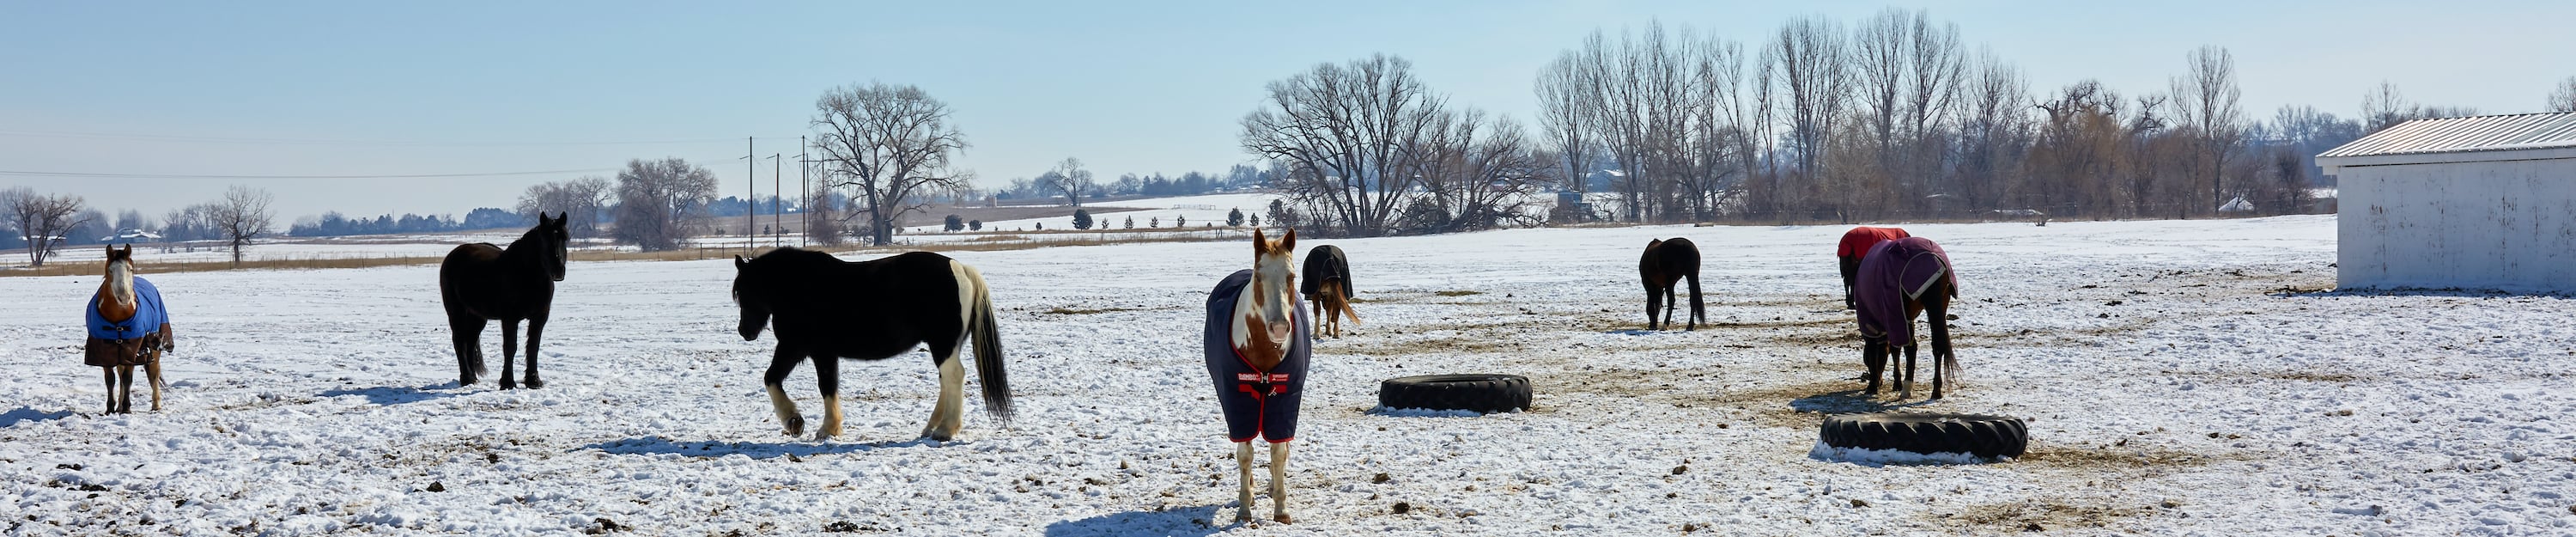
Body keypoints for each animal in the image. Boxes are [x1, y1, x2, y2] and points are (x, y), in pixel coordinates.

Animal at [85, 245, 172, 414]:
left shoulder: (133, 348)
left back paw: (156, 404)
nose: (124, 298)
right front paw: (110, 409)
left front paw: (127, 409)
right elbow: (111, 380)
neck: (118, 318)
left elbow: (128, 379)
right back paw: (119, 406)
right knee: (120, 374)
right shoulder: (105, 350)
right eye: (110, 270)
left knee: (154, 373)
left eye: (130, 269)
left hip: (154, 346)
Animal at [438, 213, 570, 389]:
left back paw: (473, 377)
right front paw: (507, 382)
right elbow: (510, 347)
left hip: (477, 316)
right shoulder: (510, 318)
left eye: (565, 238)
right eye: (544, 239)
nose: (558, 270)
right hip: (456, 311)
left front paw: (533, 381)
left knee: (470, 340)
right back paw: (467, 378)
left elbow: (533, 347)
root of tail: (453, 255)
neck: (527, 276)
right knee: (459, 340)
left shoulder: (539, 318)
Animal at [732, 248, 1011, 441]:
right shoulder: (816, 352)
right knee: (947, 380)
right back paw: (931, 427)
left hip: (943, 344)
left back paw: (945, 430)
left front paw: (801, 423)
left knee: (953, 376)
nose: (744, 331)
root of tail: (960, 268)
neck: (798, 287)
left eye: (743, 293)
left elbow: (782, 380)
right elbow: (822, 385)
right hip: (944, 346)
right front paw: (823, 427)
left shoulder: (798, 347)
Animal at [1205, 228, 1311, 524]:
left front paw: (1281, 507)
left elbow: (1278, 452)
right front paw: (1244, 508)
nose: (1279, 328)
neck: (1264, 349)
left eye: (1292, 276)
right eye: (1259, 276)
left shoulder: (1284, 401)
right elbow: (1245, 454)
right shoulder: (1237, 401)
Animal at [1851, 236, 1961, 400]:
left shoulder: (1874, 321)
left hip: (1904, 311)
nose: (1880, 381)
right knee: (1937, 345)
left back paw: (1907, 388)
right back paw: (1936, 390)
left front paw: (1873, 386)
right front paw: (1896, 382)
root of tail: (1931, 258)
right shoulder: (1893, 319)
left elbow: (1875, 348)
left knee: (1911, 348)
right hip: (1937, 308)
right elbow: (1894, 349)